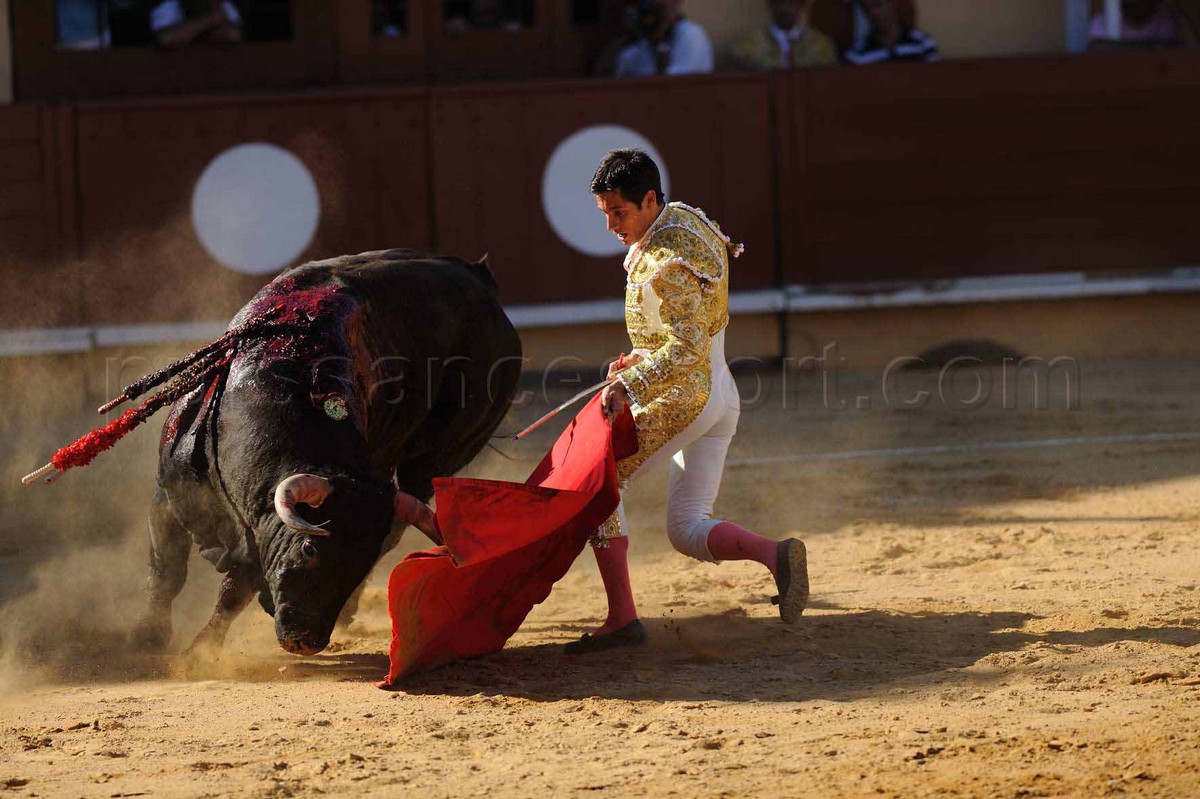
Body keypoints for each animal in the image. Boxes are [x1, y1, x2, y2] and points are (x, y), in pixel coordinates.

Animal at [130, 249, 522, 656]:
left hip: (440, 454)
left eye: (359, 566)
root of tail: (480, 279)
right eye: (309, 551)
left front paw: (200, 652)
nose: (306, 640)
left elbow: (234, 590)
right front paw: (148, 637)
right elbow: (167, 570)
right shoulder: (170, 493)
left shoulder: (260, 528)